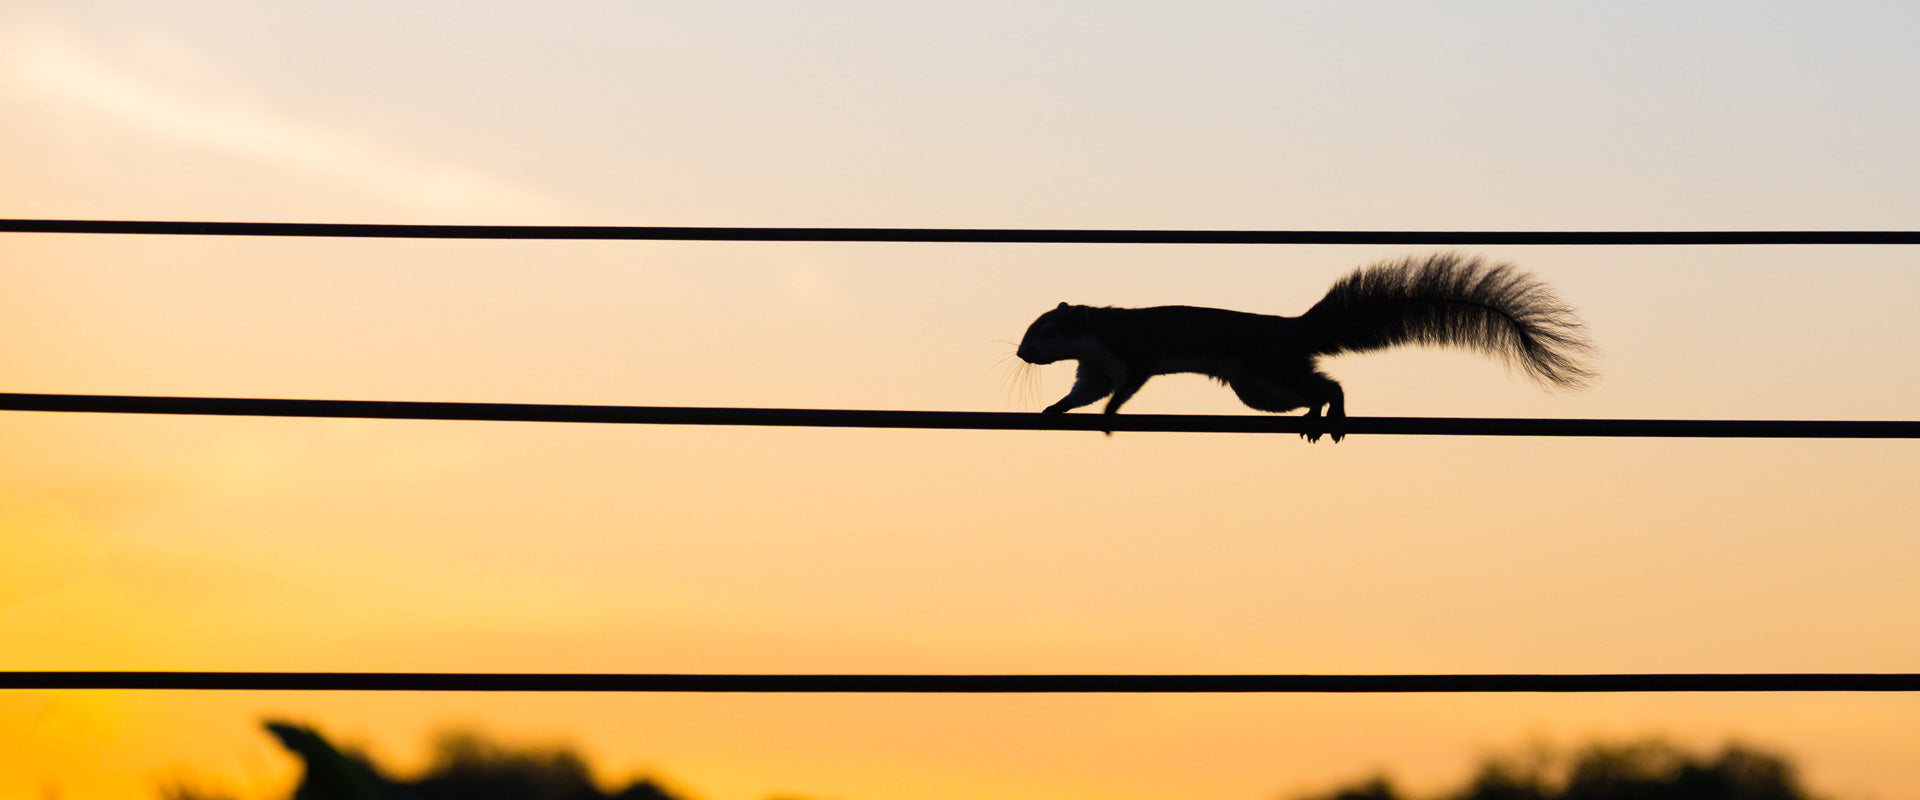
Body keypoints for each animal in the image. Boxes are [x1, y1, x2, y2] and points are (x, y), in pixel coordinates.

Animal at [1015, 252, 1595, 442]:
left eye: (1047, 331)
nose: (1021, 354)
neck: (1096, 335)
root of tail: (1291, 328)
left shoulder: (1129, 353)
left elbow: (1123, 389)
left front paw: (1111, 414)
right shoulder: (1093, 367)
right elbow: (1082, 393)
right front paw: (1053, 408)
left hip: (1266, 369)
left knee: (1328, 382)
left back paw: (1333, 413)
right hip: (1257, 388)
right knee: (1311, 389)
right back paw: (1315, 417)